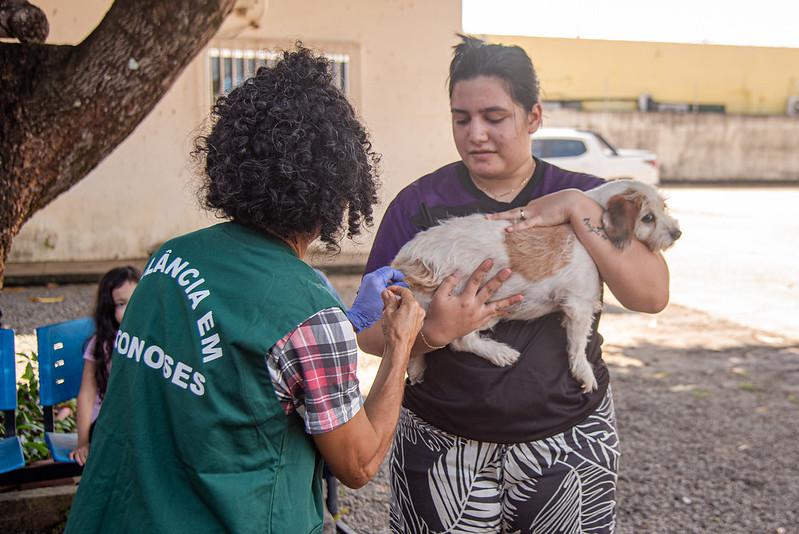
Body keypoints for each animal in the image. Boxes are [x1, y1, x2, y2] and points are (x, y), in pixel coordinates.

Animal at [394, 181, 680, 394]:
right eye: (648, 218)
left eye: (664, 207)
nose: (677, 233)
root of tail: (407, 259)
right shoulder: (579, 305)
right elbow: (578, 345)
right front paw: (584, 372)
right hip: (465, 301)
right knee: (460, 340)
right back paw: (500, 353)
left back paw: (417, 367)